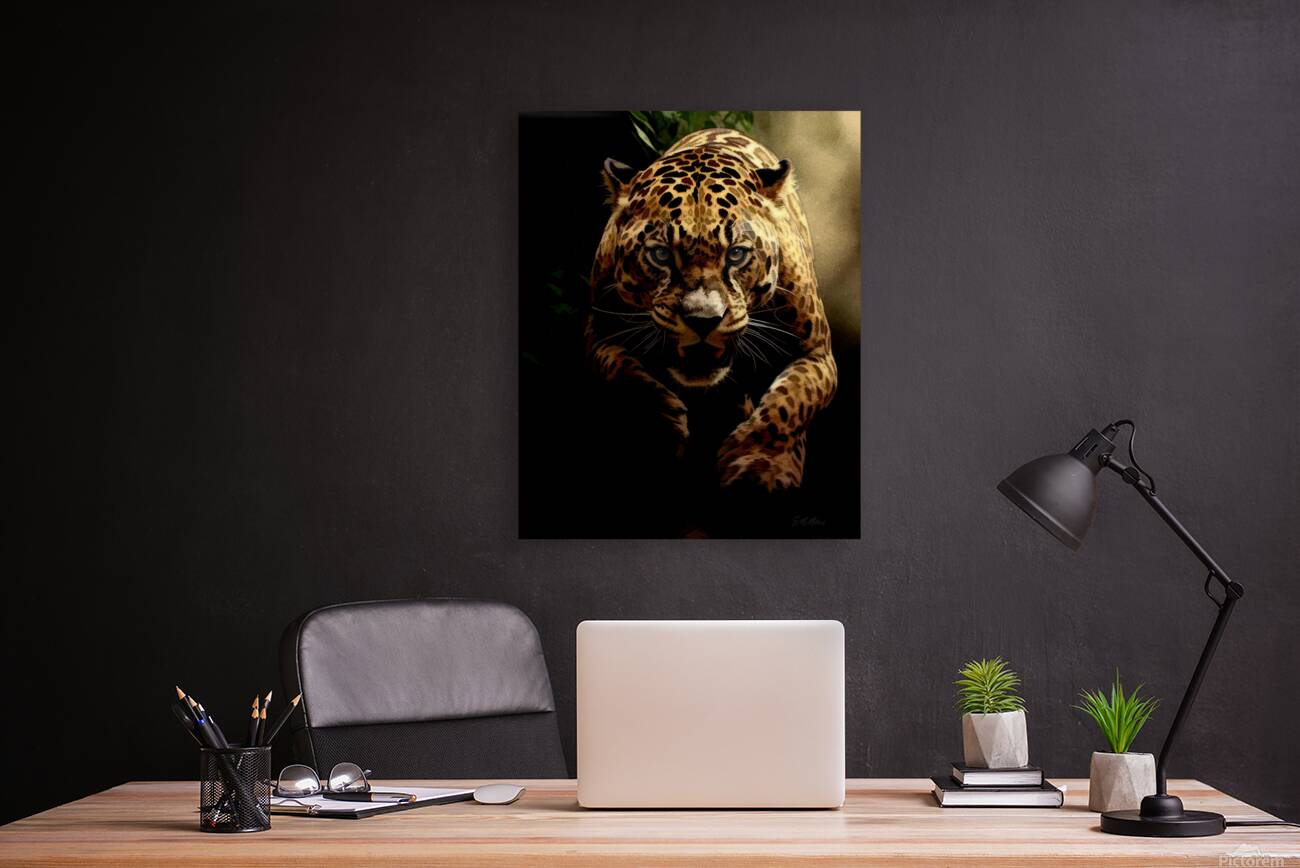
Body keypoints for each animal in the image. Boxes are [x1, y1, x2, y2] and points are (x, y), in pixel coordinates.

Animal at [587, 128, 838, 492]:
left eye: (736, 254)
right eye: (661, 254)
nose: (703, 321)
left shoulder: (817, 354)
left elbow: (789, 404)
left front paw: (754, 461)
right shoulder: (598, 337)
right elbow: (624, 374)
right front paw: (666, 428)